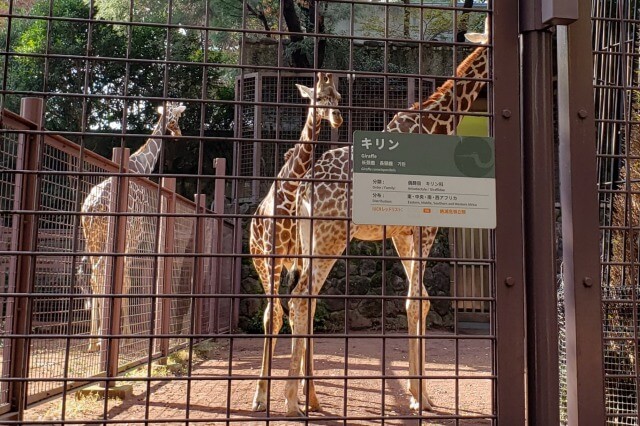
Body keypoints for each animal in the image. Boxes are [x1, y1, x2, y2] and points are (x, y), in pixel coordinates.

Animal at [80, 102, 185, 352]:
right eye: (177, 117)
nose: (178, 133)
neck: (141, 166)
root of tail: (90, 208)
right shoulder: (133, 238)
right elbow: (125, 282)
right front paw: (126, 335)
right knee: (100, 274)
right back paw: (100, 338)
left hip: (92, 239)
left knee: (94, 277)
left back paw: (93, 340)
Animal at [249, 72, 342, 412]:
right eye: (317, 97)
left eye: (337, 97)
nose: (337, 117)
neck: (289, 194)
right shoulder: (273, 259)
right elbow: (275, 316)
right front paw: (262, 396)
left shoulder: (302, 260)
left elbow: (305, 314)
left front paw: (309, 393)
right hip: (261, 262)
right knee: (272, 314)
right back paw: (263, 394)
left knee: (293, 311)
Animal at [282, 21, 490, 414]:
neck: (437, 124)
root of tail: (302, 192)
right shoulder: (426, 226)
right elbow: (416, 300)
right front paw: (418, 397)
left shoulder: (401, 233)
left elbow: (421, 299)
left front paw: (420, 393)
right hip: (331, 238)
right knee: (300, 298)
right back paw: (290, 402)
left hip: (310, 240)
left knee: (307, 300)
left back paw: (311, 396)